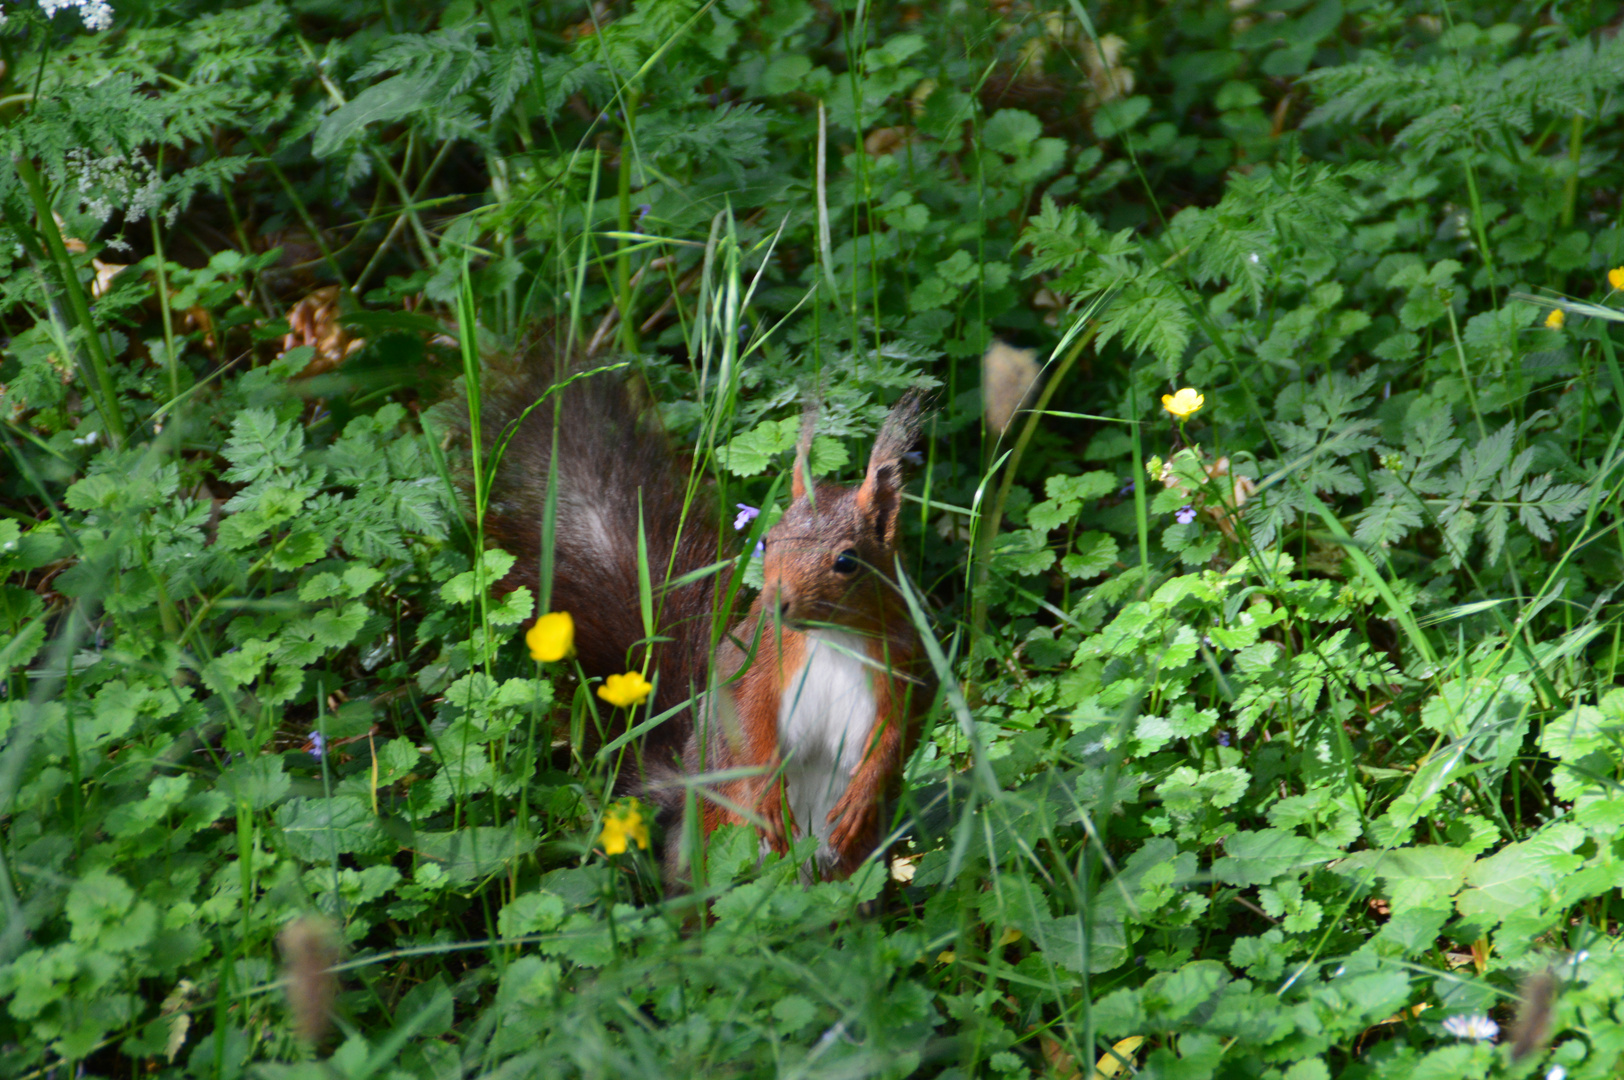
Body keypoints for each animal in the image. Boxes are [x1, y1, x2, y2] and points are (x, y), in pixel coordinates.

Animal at [467, 357, 928, 883]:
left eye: (847, 562)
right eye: (769, 540)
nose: (778, 603)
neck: (830, 637)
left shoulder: (903, 661)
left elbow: (896, 736)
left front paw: (863, 794)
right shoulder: (757, 660)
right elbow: (746, 722)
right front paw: (767, 794)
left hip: (854, 865)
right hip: (711, 839)